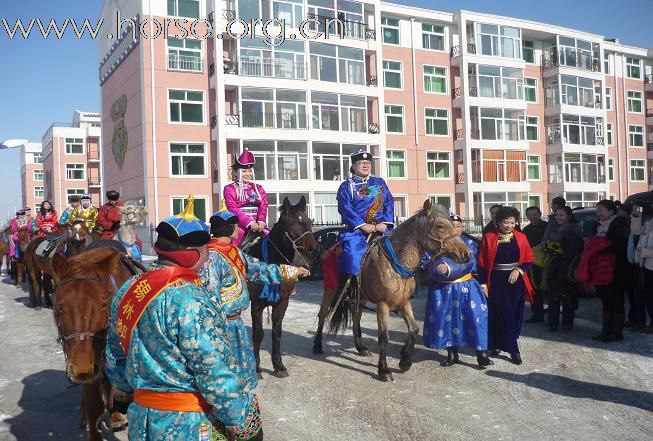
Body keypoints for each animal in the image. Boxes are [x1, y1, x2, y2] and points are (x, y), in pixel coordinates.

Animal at [246, 197, 320, 378]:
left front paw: (279, 366)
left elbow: (276, 333)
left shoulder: (282, 303)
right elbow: (258, 334)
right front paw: (257, 368)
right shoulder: (256, 304)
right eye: (292, 224)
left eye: (308, 221)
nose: (314, 249)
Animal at [320, 200, 468, 382]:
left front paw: (405, 360)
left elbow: (414, 329)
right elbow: (383, 338)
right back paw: (317, 346)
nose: (466, 253)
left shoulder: (403, 302)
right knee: (322, 316)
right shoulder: (383, 305)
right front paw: (384, 370)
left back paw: (361, 348)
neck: (396, 261)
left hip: (360, 299)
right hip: (330, 291)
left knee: (355, 320)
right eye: (440, 225)